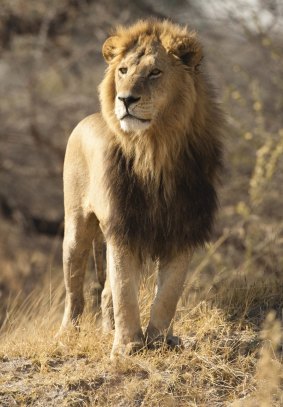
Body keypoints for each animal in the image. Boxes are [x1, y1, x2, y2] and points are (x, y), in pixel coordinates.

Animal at [59, 19, 224, 356]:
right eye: (123, 70)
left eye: (155, 72)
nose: (125, 99)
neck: (155, 150)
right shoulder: (123, 226)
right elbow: (125, 291)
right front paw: (127, 346)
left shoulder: (184, 229)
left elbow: (168, 295)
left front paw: (159, 340)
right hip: (76, 228)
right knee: (75, 291)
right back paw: (68, 333)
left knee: (105, 292)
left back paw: (108, 330)